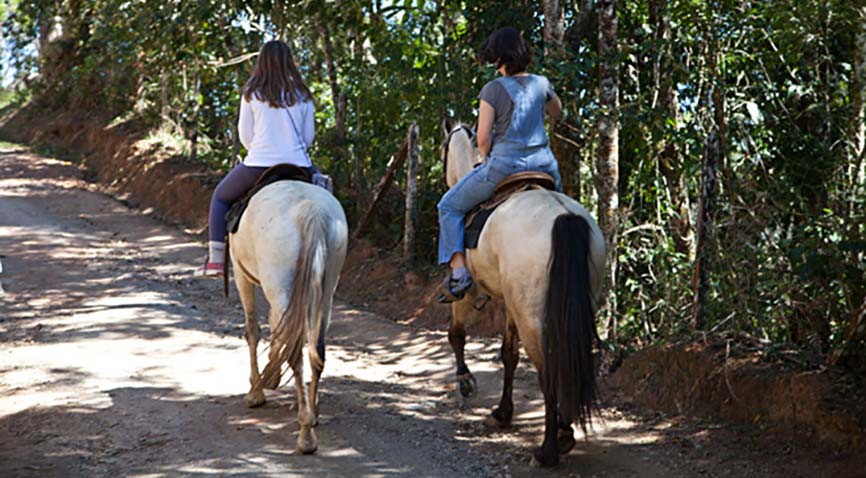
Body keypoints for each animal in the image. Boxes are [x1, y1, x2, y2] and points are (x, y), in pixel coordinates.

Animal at [226, 175, 348, 456]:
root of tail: (310, 209)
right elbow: (277, 328)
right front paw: (271, 375)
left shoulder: (240, 274)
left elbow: (253, 330)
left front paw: (257, 390)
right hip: (325, 290)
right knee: (316, 349)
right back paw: (313, 412)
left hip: (278, 282)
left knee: (296, 352)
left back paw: (306, 435)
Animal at [442, 120, 604, 466]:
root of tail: (564, 217)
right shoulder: (509, 303)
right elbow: (508, 355)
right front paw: (503, 413)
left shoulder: (468, 289)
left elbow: (457, 334)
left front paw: (465, 381)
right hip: (564, 308)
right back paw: (563, 432)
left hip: (531, 316)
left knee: (549, 371)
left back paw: (549, 449)